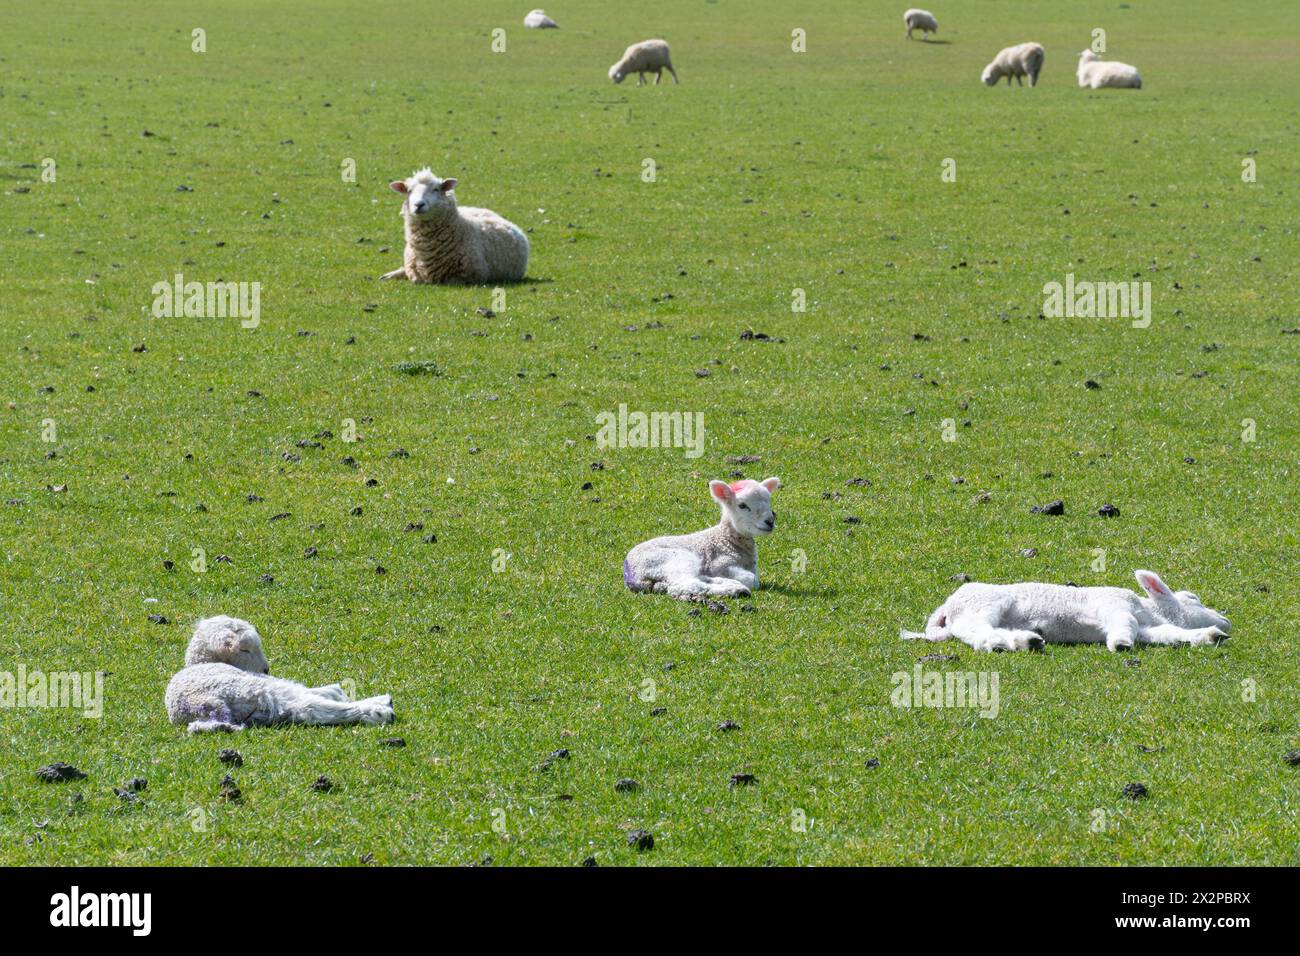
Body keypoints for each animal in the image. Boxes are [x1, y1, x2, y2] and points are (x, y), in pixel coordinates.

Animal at [159, 616, 390, 738]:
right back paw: (379, 709)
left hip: (260, 712)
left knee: (304, 712)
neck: (202, 663)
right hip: (250, 688)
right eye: (245, 649)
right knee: (307, 706)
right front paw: (336, 691)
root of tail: (205, 708)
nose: (266, 669)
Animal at [621, 476, 774, 600]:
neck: (726, 539)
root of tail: (630, 575)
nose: (770, 521)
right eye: (742, 505)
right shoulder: (719, 564)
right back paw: (735, 590)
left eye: (769, 501)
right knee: (685, 584)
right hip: (669, 560)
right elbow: (753, 579)